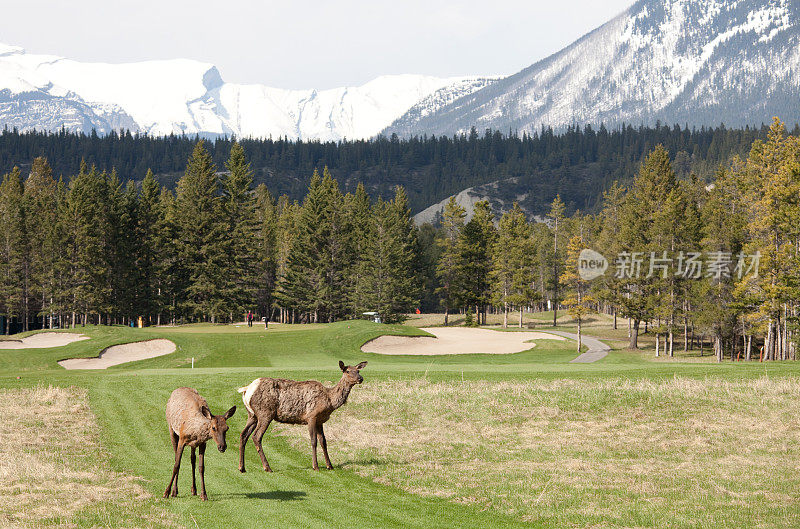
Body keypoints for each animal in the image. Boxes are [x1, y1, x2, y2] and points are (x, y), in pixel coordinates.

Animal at [234, 358, 366, 470]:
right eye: (347, 371)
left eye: (358, 370)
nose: (360, 378)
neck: (329, 402)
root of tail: (247, 389)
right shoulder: (311, 416)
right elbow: (313, 441)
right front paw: (315, 466)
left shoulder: (320, 421)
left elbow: (324, 442)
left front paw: (330, 465)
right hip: (265, 413)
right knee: (256, 436)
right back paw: (267, 467)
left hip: (252, 415)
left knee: (243, 434)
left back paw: (242, 467)